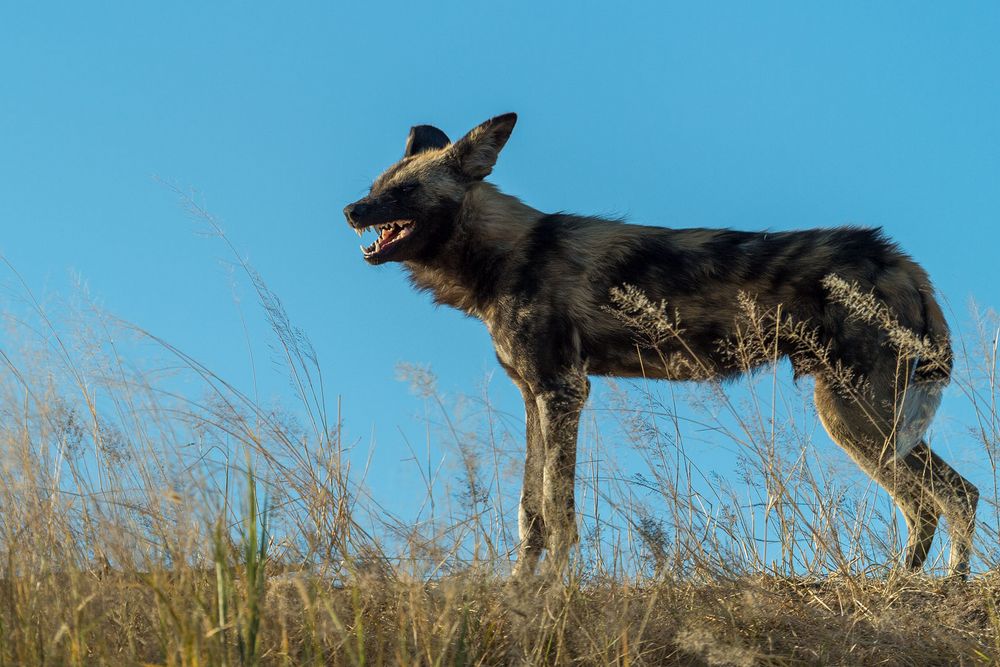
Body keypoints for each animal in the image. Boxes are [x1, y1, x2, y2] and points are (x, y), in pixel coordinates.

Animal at [344, 113, 976, 580]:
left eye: (404, 191)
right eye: (375, 188)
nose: (350, 210)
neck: (504, 254)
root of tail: (898, 259)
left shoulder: (563, 392)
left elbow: (559, 510)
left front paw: (553, 595)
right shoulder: (533, 395)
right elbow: (531, 513)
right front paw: (521, 590)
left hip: (853, 415)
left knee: (937, 498)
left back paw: (925, 587)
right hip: (865, 417)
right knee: (951, 496)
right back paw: (921, 586)